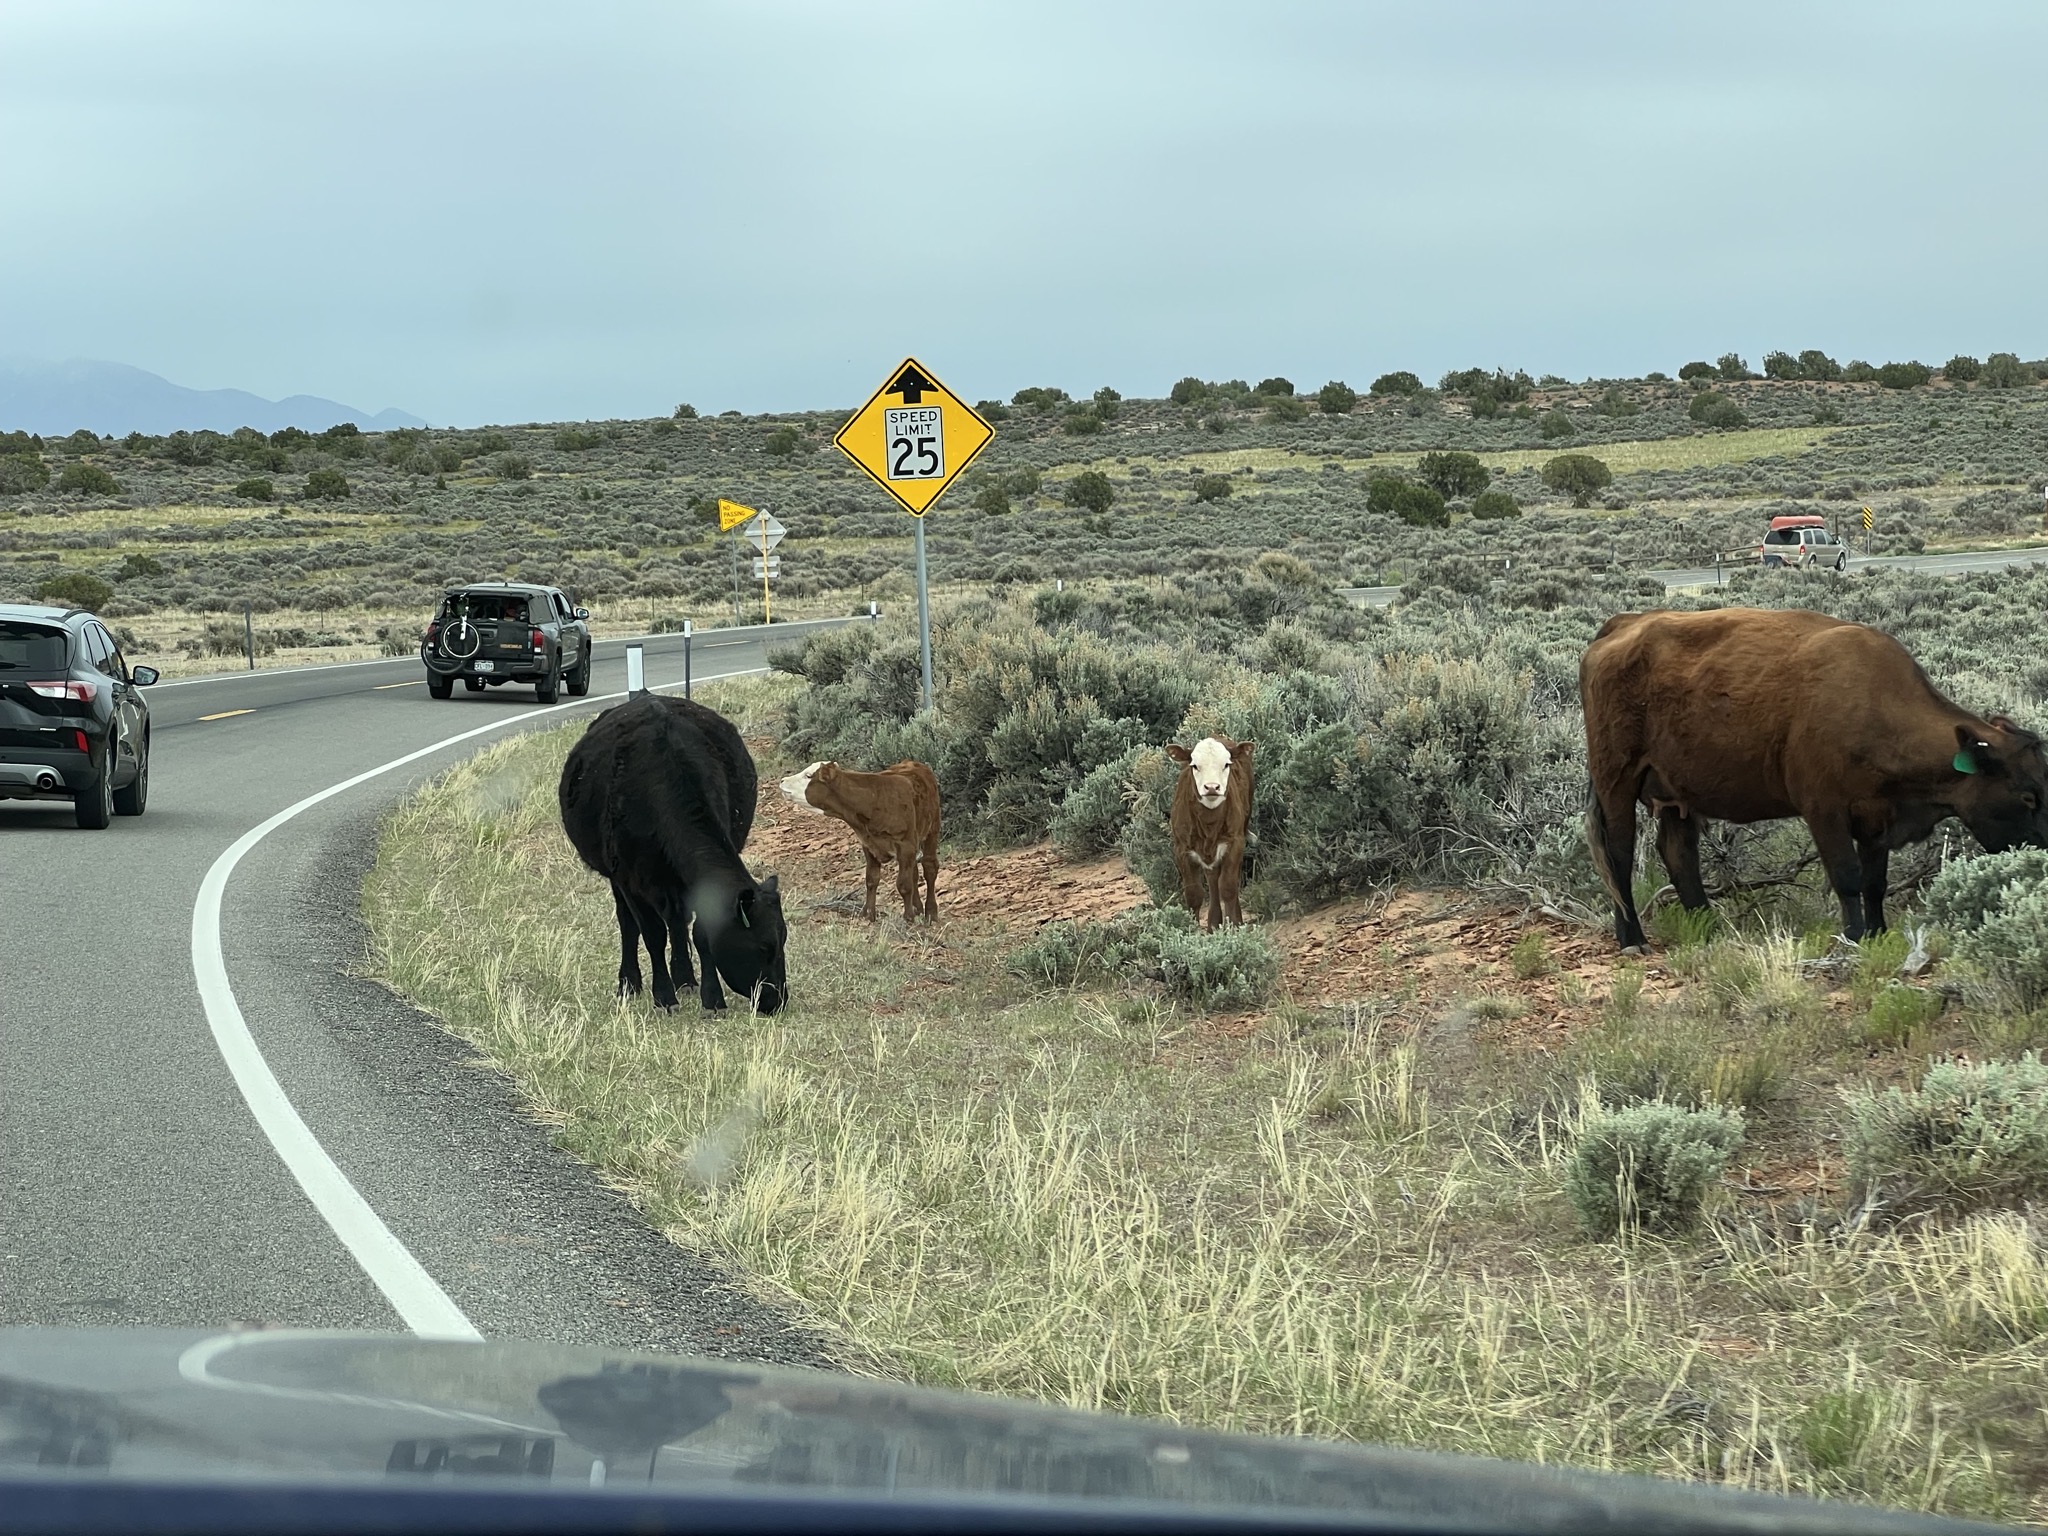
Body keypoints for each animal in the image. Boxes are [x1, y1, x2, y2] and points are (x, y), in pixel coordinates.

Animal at [558, 693, 788, 1013]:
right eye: (765, 946)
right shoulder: (630, 879)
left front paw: (712, 999)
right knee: (629, 925)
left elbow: (700, 933)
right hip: (618, 877)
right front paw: (664, 997)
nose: (779, 1000)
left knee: (677, 920)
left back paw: (685, 979)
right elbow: (652, 933)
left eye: (784, 940)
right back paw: (630, 983)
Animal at [778, 760, 940, 922]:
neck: (874, 799)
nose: (782, 780)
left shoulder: (905, 845)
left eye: (808, 775)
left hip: (932, 829)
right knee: (914, 871)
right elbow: (872, 879)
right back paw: (918, 908)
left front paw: (908, 918)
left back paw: (931, 912)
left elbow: (904, 885)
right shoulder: (868, 844)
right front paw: (868, 914)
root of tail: (913, 763)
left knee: (929, 867)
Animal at [1166, 735, 1255, 929]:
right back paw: (1213, 924)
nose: (1212, 787)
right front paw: (1190, 930)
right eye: (1194, 765)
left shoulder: (1235, 841)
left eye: (1226, 764)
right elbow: (1193, 894)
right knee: (1212, 879)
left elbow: (1228, 887)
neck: (1208, 824)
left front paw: (1234, 927)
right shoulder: (1181, 849)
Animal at [1581, 607, 2048, 951]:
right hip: (1616, 780)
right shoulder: (1825, 812)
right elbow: (1847, 876)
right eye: (2028, 796)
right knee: (1619, 855)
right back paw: (1632, 939)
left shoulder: (1876, 821)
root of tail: (1620, 626)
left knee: (1678, 854)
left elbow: (1875, 882)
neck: (1875, 705)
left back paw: (1708, 928)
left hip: (1677, 795)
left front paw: (1878, 933)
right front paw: (1854, 935)